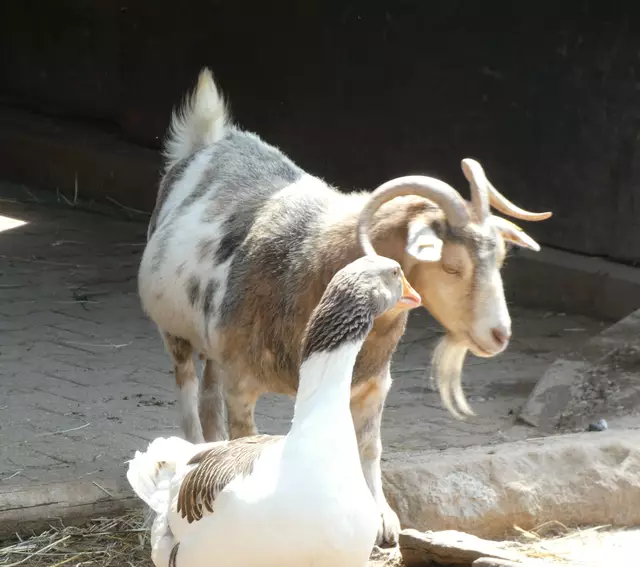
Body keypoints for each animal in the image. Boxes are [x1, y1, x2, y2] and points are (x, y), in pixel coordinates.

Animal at [138, 68, 552, 547]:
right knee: (188, 395)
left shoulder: (373, 385)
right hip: (176, 334)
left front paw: (382, 517)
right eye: (451, 266)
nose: (499, 334)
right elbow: (249, 441)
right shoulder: (242, 386)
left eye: (499, 258)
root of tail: (212, 137)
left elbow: (368, 447)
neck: (311, 264)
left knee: (207, 398)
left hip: (213, 343)